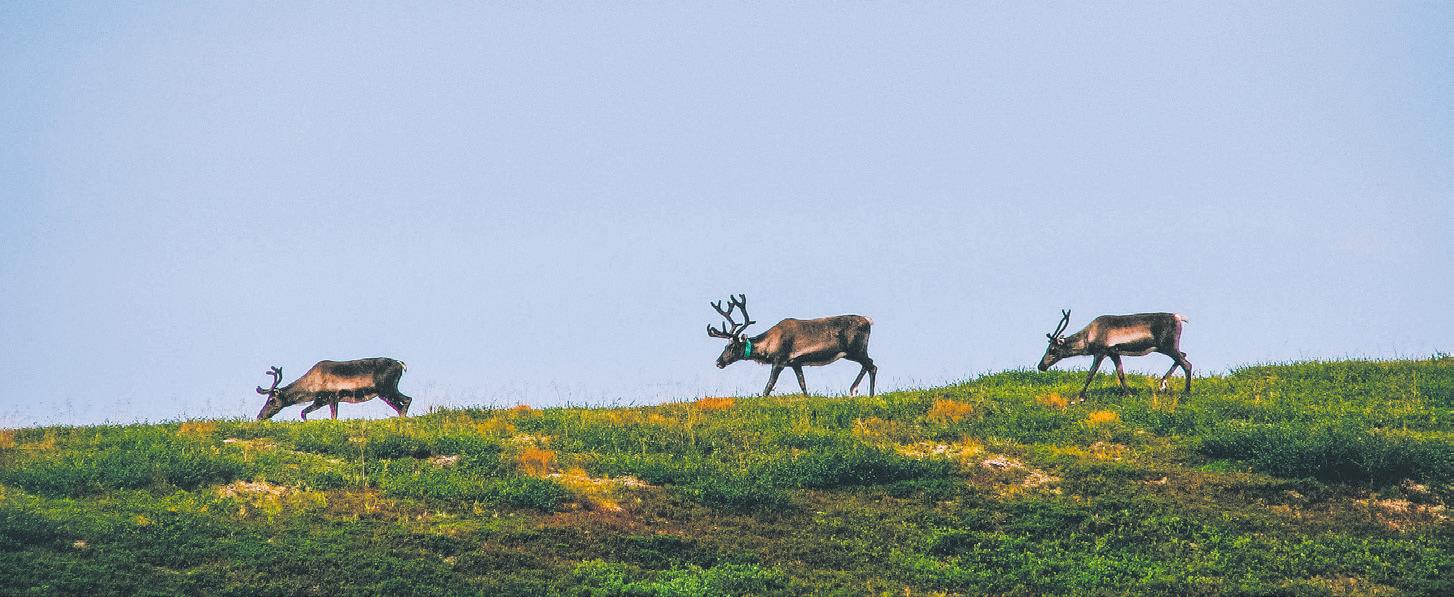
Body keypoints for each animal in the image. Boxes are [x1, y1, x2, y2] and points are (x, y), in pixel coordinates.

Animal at [255, 358, 413, 420]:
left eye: (271, 400)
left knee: (407, 400)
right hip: (385, 393)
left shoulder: (331, 396)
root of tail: (400, 364)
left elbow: (332, 417)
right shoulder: (321, 401)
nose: (259, 416)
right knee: (401, 405)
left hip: (387, 389)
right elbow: (303, 412)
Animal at [707, 294, 877, 397]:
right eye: (724, 347)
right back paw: (855, 390)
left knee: (872, 366)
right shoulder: (796, 363)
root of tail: (868, 321)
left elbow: (769, 385)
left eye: (732, 347)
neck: (768, 344)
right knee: (869, 364)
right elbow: (803, 385)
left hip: (855, 350)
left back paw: (863, 393)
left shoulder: (779, 361)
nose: (718, 362)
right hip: (854, 353)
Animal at [1038, 309, 1192, 401]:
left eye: (1052, 349)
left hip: (1168, 347)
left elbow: (1090, 374)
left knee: (1187, 364)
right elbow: (1121, 374)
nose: (1041, 366)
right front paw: (1128, 394)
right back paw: (1162, 384)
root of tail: (1178, 317)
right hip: (1167, 348)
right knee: (1183, 355)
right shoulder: (1114, 354)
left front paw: (1078, 398)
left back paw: (1186, 392)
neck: (1089, 335)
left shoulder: (1100, 352)